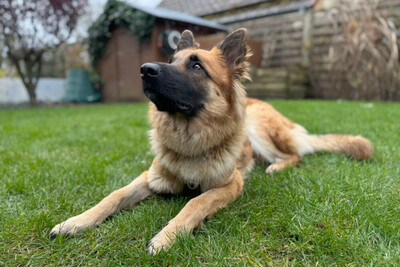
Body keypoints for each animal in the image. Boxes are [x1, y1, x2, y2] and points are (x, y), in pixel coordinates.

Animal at [49, 28, 372, 254]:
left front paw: (168, 236)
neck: (190, 142)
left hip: (260, 130)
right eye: (170, 61)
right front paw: (76, 221)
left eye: (196, 67)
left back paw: (276, 167)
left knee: (295, 155)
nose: (145, 69)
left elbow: (196, 202)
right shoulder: (149, 178)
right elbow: (113, 196)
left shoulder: (230, 185)